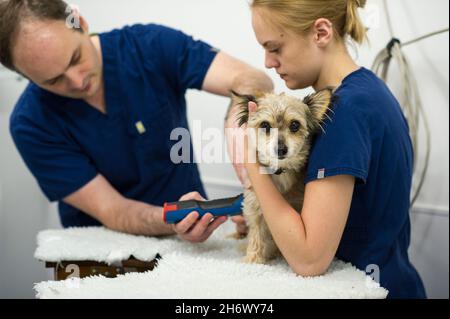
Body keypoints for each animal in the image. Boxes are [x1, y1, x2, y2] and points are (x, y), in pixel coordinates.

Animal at [232, 89, 334, 264]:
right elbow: (256, 235)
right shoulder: (254, 206)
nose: (281, 149)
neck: (280, 171)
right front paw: (253, 259)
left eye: (295, 125)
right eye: (265, 125)